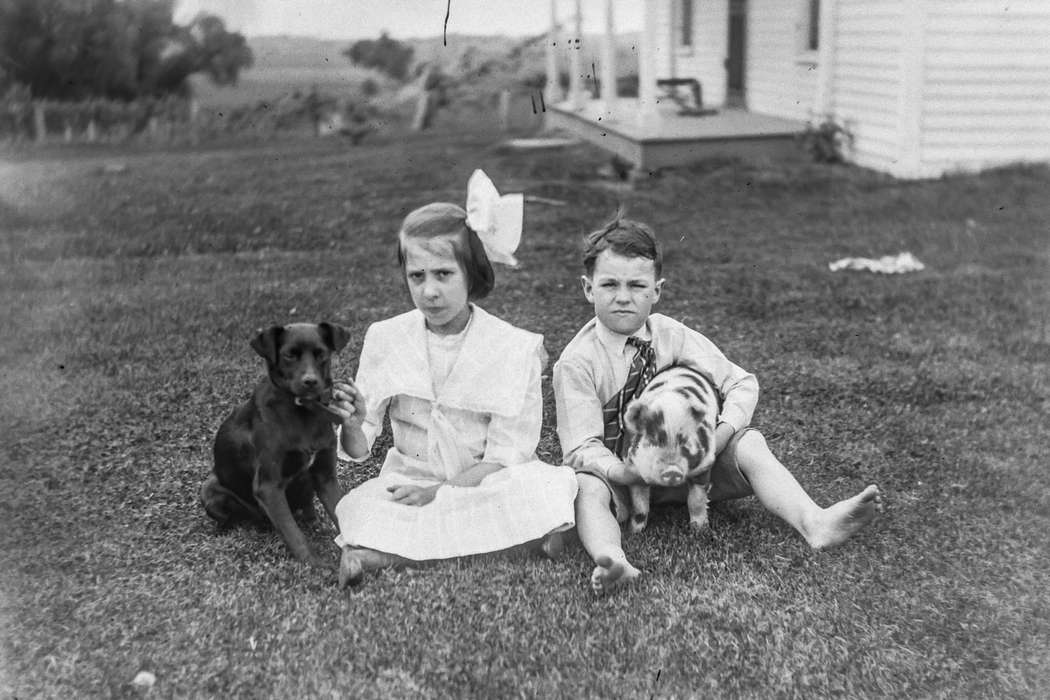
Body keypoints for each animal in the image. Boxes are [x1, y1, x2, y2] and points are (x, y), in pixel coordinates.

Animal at [200, 323, 352, 562]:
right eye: (289, 355)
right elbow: (293, 534)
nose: (310, 382)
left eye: (321, 354)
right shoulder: (268, 486)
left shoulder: (325, 476)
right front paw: (315, 564)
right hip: (209, 489)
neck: (302, 411)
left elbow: (340, 512)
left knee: (306, 509)